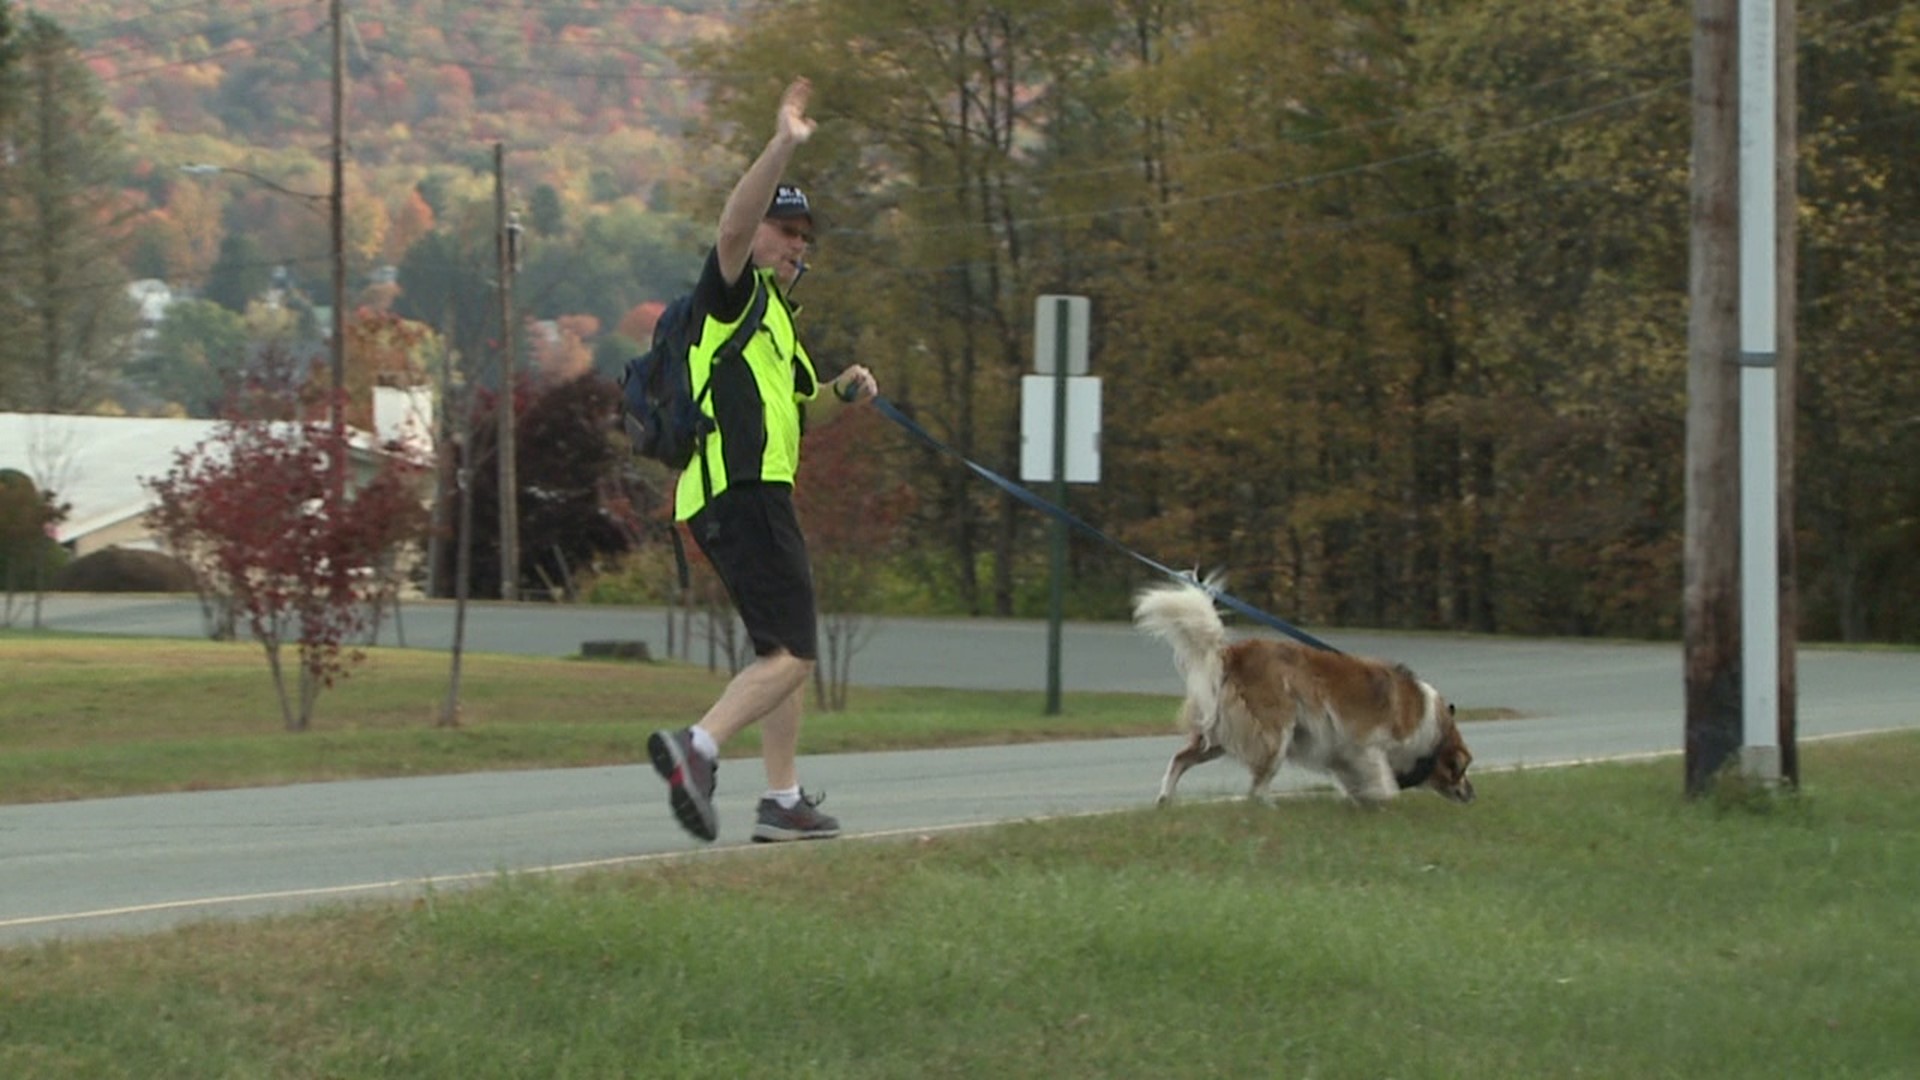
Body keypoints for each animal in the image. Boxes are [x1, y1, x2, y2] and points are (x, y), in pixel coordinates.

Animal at [1128, 576, 1474, 803]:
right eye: (1461, 769)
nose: (1473, 794)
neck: (1429, 723)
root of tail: (1231, 654)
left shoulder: (1345, 756)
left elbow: (1357, 782)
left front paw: (1361, 800)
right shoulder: (1367, 745)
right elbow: (1384, 783)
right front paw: (1380, 799)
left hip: (1221, 735)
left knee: (1181, 758)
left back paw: (1165, 800)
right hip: (1275, 732)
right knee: (1256, 788)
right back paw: (1268, 808)